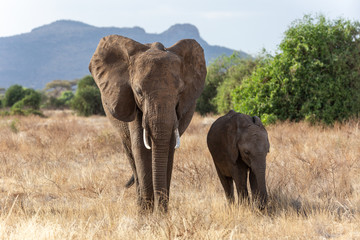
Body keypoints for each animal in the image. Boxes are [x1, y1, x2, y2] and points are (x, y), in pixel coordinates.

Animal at [89, 34, 207, 211]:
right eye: (138, 92)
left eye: (180, 92)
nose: (160, 210)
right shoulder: (131, 101)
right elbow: (140, 148)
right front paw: (146, 215)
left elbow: (169, 147)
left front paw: (161, 214)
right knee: (131, 153)